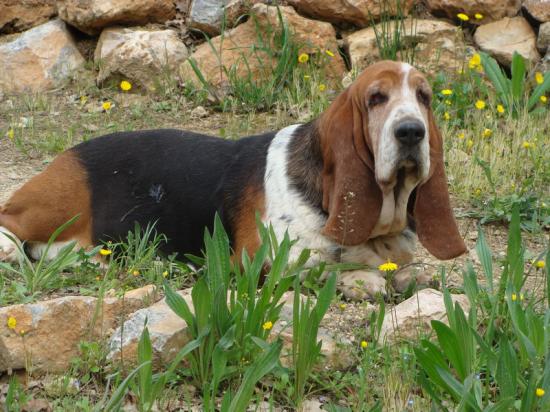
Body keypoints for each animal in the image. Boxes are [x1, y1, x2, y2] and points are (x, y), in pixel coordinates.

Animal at [0, 61, 467, 300]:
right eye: (375, 98)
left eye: (424, 97)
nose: (411, 132)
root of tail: (67, 153)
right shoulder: (261, 262)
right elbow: (320, 269)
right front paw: (360, 279)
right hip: (57, 203)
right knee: (11, 221)